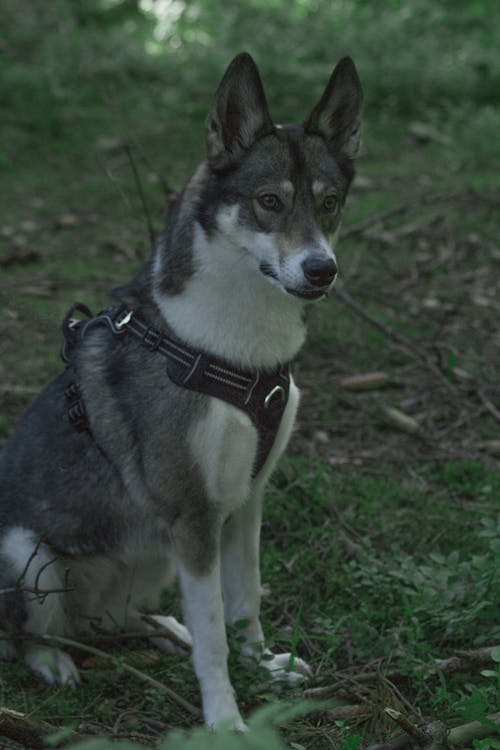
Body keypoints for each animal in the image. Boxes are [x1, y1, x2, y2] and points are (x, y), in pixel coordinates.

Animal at [0, 54, 360, 736]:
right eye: (269, 202)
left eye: (329, 204)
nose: (321, 270)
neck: (237, 347)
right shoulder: (195, 515)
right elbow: (217, 632)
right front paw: (226, 720)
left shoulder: (244, 502)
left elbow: (243, 602)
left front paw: (262, 667)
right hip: (27, 552)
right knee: (27, 636)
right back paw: (55, 662)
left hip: (152, 555)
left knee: (110, 621)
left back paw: (163, 628)